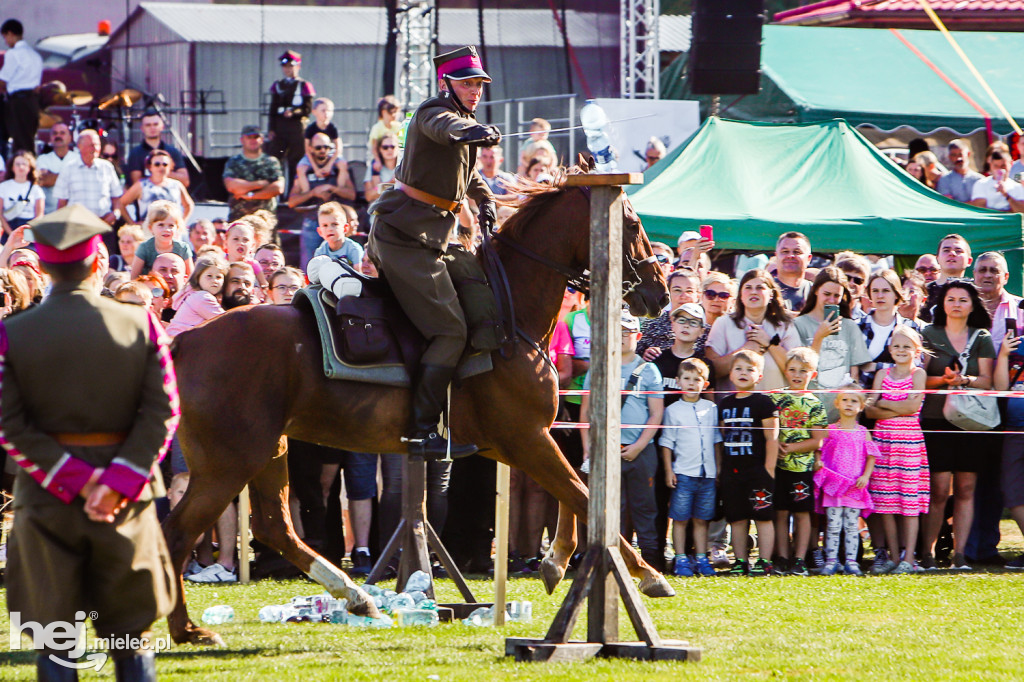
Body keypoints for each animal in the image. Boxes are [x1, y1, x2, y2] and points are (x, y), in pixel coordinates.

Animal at [162, 164, 667, 643]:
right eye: (633, 223)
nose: (659, 293)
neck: (511, 311)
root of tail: (184, 341)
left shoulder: (510, 441)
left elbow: (576, 487)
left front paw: (556, 560)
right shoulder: (524, 437)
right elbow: (581, 492)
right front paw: (646, 573)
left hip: (270, 449)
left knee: (273, 526)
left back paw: (357, 597)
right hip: (230, 461)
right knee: (179, 532)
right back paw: (188, 628)